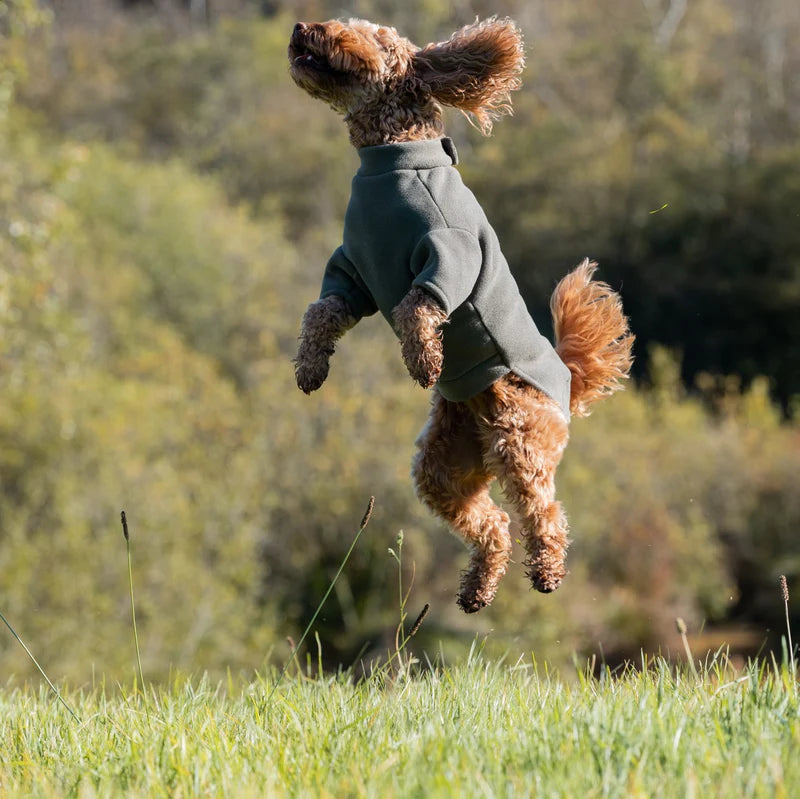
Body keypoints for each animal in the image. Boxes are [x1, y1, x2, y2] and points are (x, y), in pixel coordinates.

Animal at [290, 17, 636, 612]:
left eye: (357, 31)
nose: (300, 28)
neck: (393, 159)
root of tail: (567, 380)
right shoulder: (353, 271)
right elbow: (321, 311)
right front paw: (311, 367)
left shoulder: (449, 255)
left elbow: (414, 305)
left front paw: (423, 361)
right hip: (444, 469)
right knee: (493, 524)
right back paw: (477, 589)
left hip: (521, 440)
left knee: (545, 513)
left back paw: (548, 571)